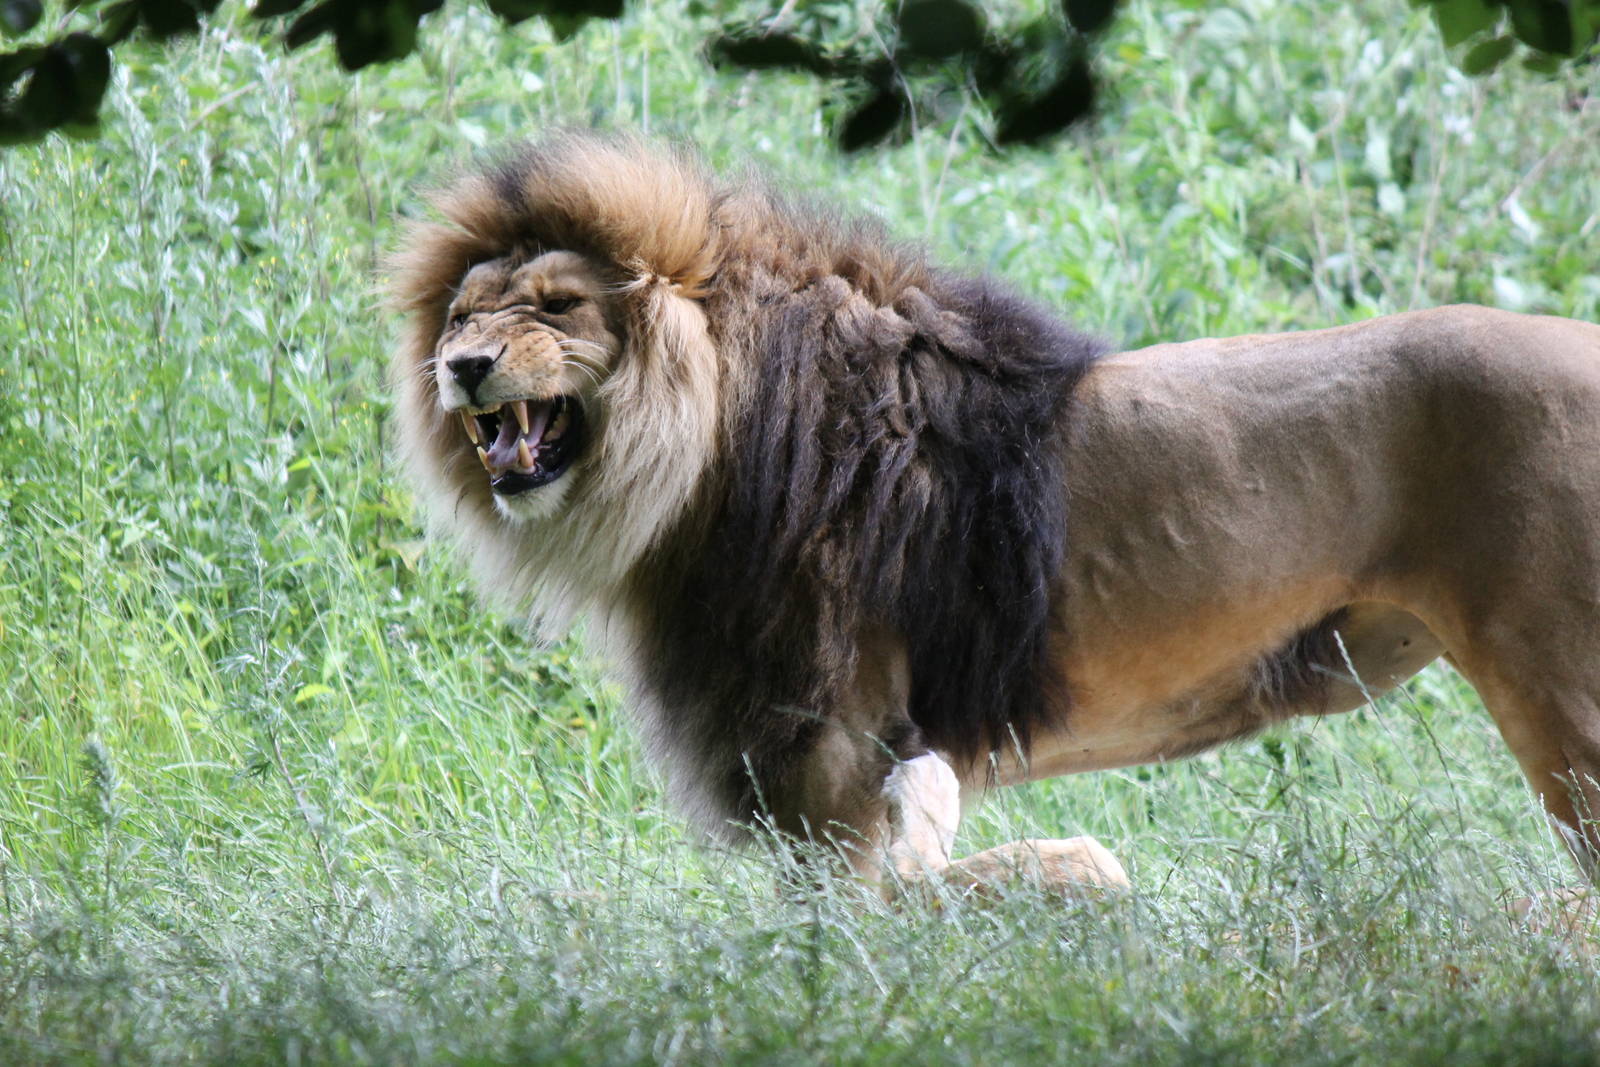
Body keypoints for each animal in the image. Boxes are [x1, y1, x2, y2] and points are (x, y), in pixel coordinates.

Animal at [389, 130, 1600, 896]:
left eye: (557, 307)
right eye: (461, 314)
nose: (463, 366)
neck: (700, 450)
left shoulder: (828, 750)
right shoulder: (867, 762)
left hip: (1560, 689)